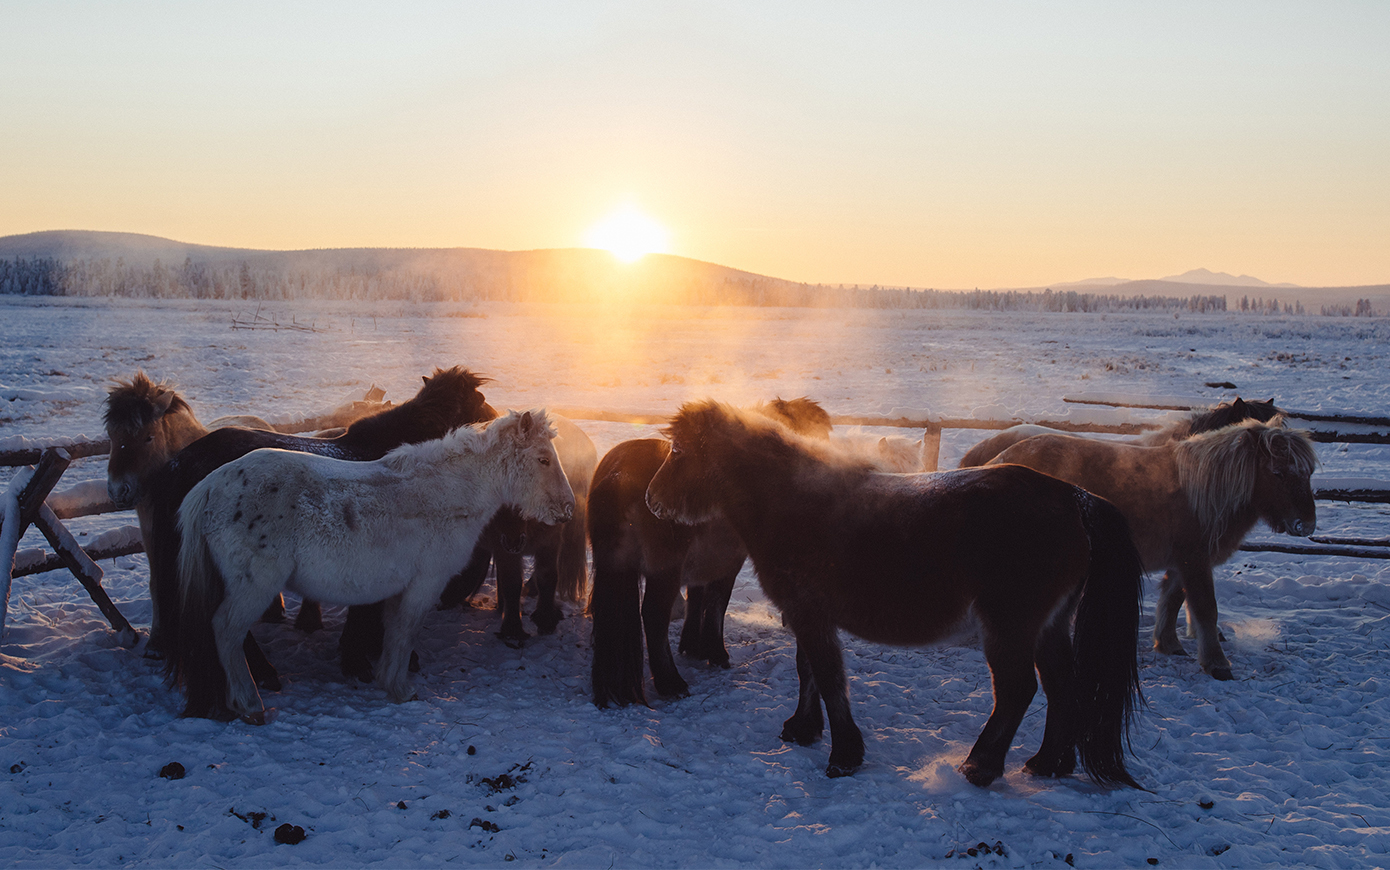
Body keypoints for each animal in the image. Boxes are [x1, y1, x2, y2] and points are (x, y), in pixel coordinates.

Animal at [173, 408, 575, 722]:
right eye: (543, 459)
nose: (568, 509)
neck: (444, 495)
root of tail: (210, 486)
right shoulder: (425, 583)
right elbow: (406, 632)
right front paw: (401, 689)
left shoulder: (401, 589)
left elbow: (394, 631)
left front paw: (386, 679)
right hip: (254, 587)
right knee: (227, 631)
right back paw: (249, 703)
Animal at [586, 397, 856, 708]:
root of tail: (619, 474)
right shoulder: (728, 563)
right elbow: (717, 604)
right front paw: (716, 653)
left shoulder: (703, 562)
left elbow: (697, 598)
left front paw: (692, 646)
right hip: (664, 571)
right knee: (654, 616)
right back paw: (671, 683)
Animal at [644, 400, 1145, 783]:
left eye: (680, 451)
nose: (652, 500)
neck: (790, 500)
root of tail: (1074, 497)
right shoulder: (807, 613)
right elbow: (809, 670)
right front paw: (803, 730)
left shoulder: (809, 613)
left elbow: (829, 677)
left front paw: (844, 756)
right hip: (1049, 626)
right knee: (1062, 686)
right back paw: (1048, 764)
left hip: (1010, 626)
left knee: (1017, 690)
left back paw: (980, 766)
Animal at [984, 414, 1317, 678]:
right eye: (1278, 473)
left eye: (1308, 473)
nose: (1307, 525)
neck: (1202, 492)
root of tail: (1000, 458)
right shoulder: (1195, 561)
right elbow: (1205, 608)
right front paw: (1217, 664)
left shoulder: (1183, 561)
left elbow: (1172, 599)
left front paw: (1168, 644)